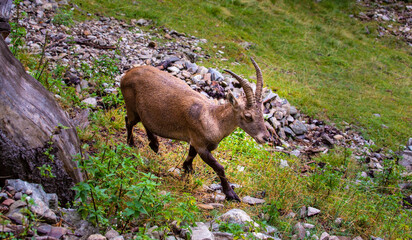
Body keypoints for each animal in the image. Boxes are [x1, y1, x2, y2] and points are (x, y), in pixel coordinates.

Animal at [120, 58, 270, 201]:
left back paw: (154, 144)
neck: (213, 118)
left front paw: (187, 169)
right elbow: (219, 167)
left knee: (145, 122)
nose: (266, 137)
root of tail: (126, 75)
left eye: (262, 111)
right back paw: (131, 144)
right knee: (129, 121)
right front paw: (231, 194)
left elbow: (191, 155)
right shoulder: (201, 145)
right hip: (132, 107)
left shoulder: (195, 141)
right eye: (248, 116)